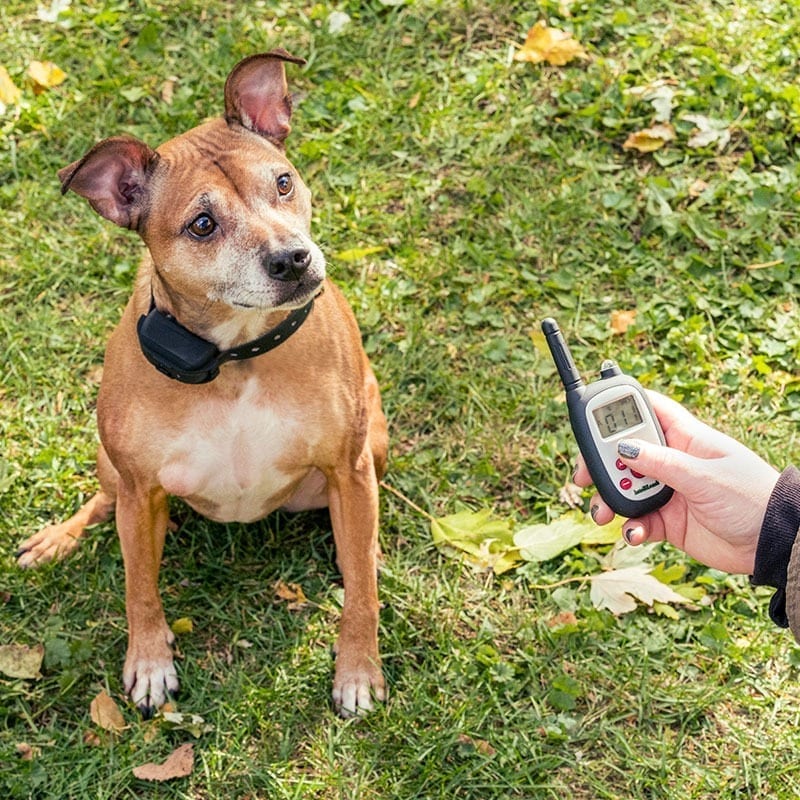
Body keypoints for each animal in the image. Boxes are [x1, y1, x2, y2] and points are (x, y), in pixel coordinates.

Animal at [20, 50, 390, 720]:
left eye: (282, 183)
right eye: (201, 224)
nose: (292, 259)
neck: (235, 357)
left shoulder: (348, 467)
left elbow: (361, 598)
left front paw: (357, 669)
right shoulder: (140, 489)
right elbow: (139, 586)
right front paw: (149, 661)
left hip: (372, 445)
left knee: (358, 544)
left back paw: (366, 552)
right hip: (113, 469)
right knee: (105, 505)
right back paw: (58, 539)